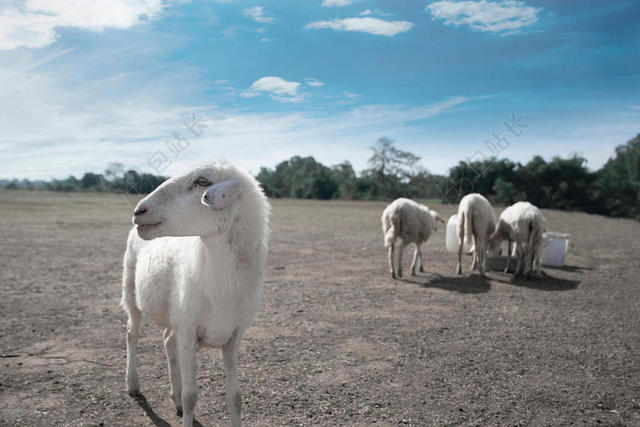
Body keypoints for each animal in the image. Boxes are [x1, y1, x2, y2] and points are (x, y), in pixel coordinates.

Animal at [122, 162, 270, 426]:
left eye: (202, 181)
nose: (139, 211)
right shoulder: (189, 333)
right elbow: (192, 397)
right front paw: (186, 402)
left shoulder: (233, 337)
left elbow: (235, 398)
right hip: (131, 291)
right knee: (132, 333)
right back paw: (133, 384)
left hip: (177, 316)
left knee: (168, 340)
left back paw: (175, 398)